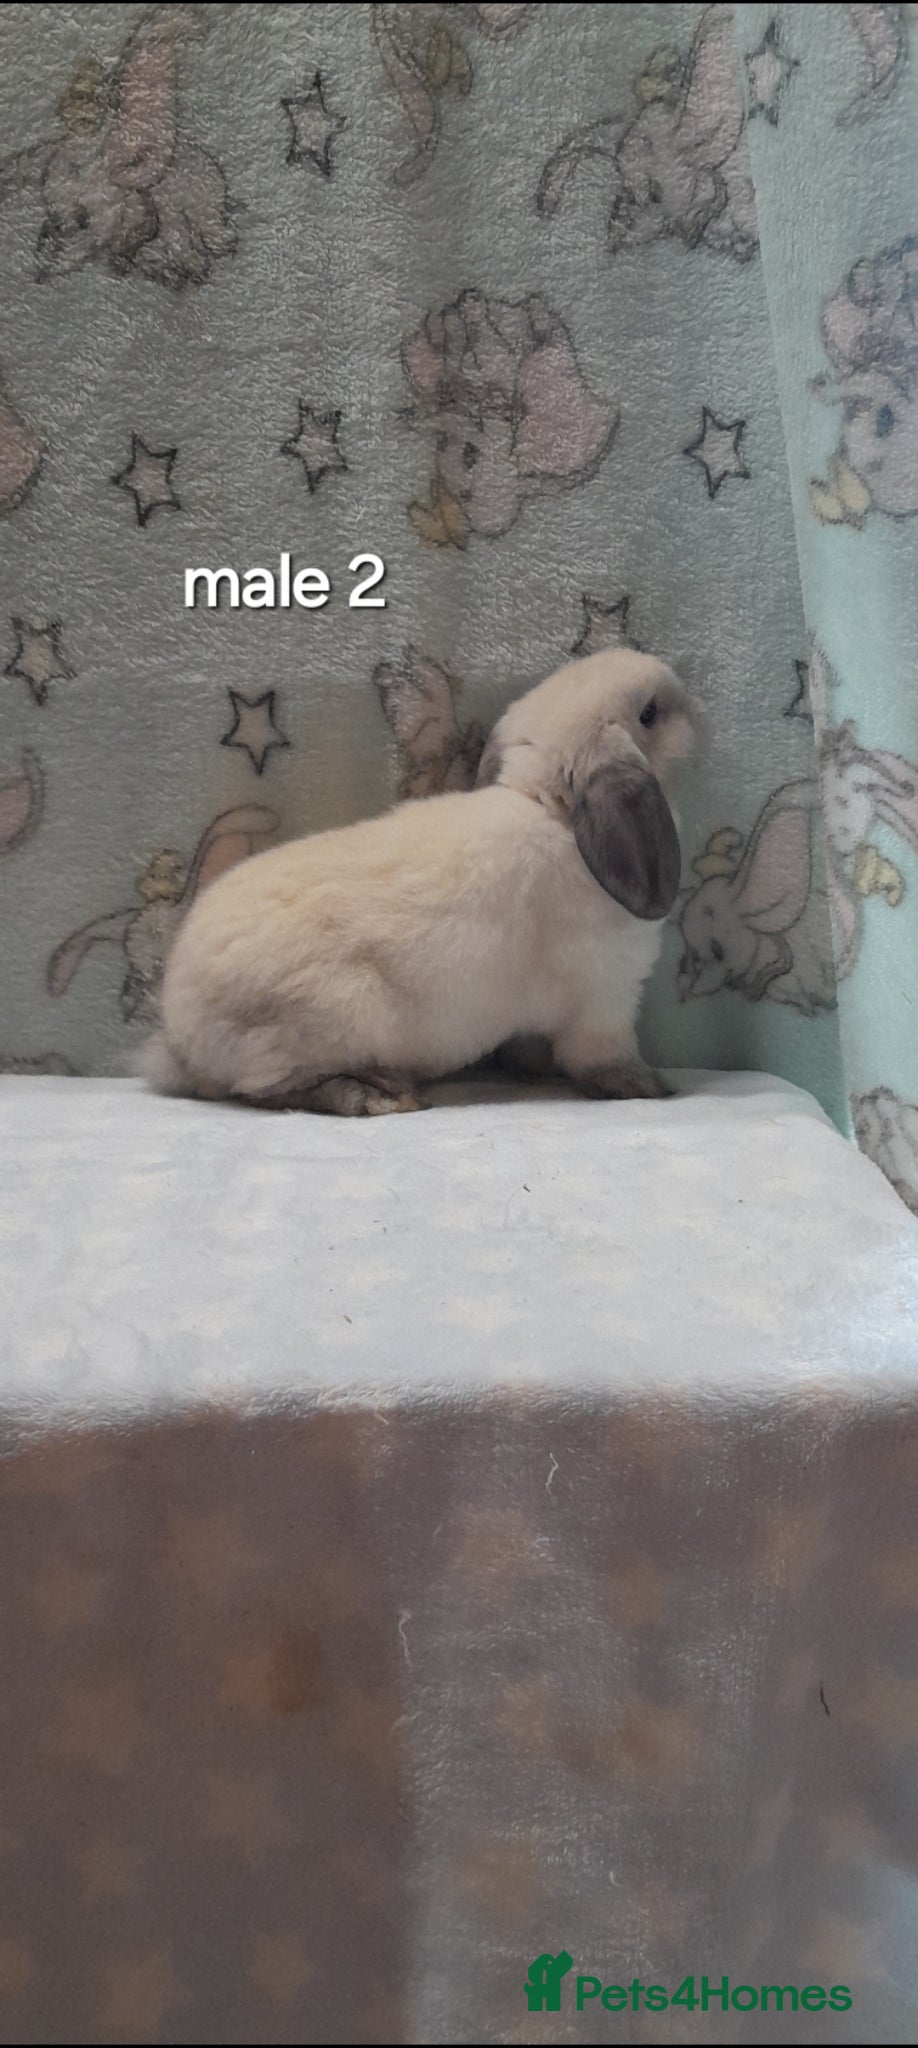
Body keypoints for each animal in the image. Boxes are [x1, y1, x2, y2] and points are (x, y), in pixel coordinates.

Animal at [143, 649, 699, 1116]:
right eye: (650, 713)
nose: (695, 705)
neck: (550, 810)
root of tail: (180, 1039)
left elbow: (531, 1047)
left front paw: (529, 1069)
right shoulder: (605, 999)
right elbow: (605, 1060)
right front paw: (651, 1088)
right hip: (326, 1024)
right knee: (267, 1091)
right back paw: (376, 1095)